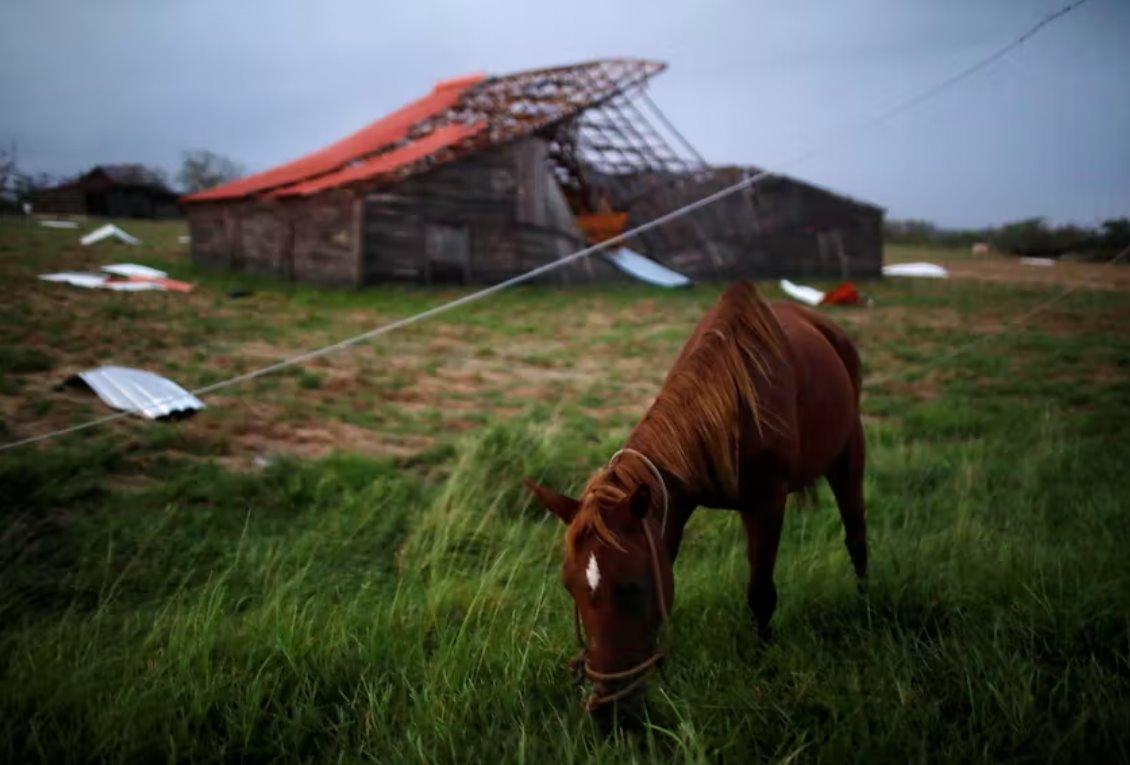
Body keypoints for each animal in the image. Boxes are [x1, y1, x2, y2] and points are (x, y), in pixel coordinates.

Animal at [524, 280, 867, 714]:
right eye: (569, 586)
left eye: (632, 585)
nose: (607, 710)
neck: (726, 405)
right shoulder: (670, 506)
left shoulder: (766, 504)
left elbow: (761, 593)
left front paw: (763, 661)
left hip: (849, 451)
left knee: (856, 537)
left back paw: (865, 604)